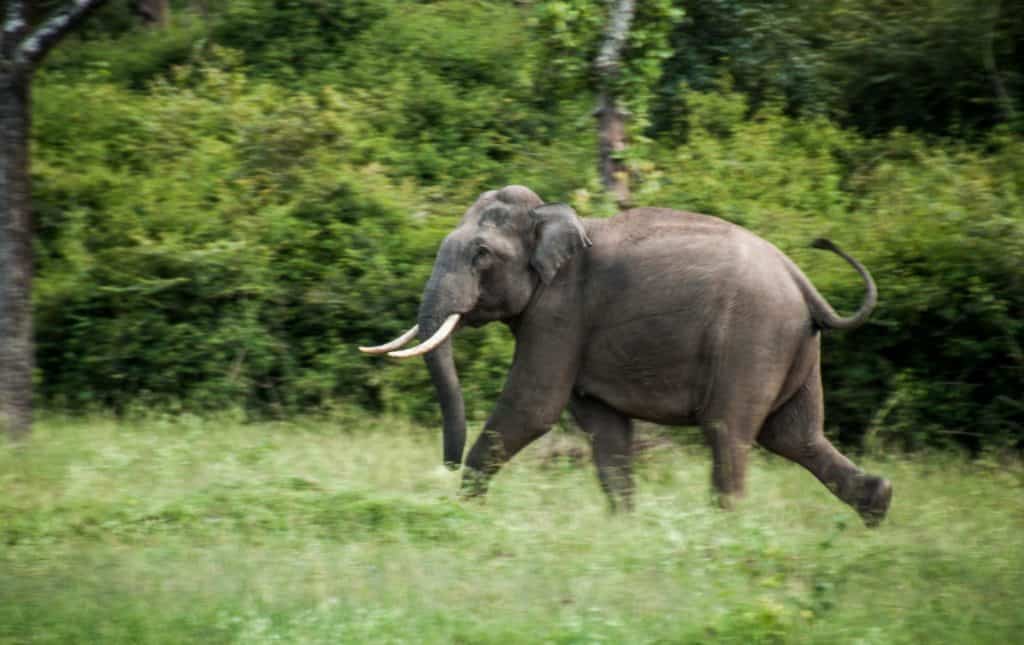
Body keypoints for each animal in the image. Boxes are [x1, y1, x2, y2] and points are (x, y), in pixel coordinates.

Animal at [361, 185, 893, 526]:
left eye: (482, 255)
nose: (446, 470)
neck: (551, 216)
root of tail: (804, 283)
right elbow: (603, 425)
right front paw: (625, 527)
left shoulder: (560, 312)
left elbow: (534, 407)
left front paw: (467, 508)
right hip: (794, 346)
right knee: (795, 435)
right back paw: (877, 507)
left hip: (752, 338)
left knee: (729, 431)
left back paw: (723, 530)